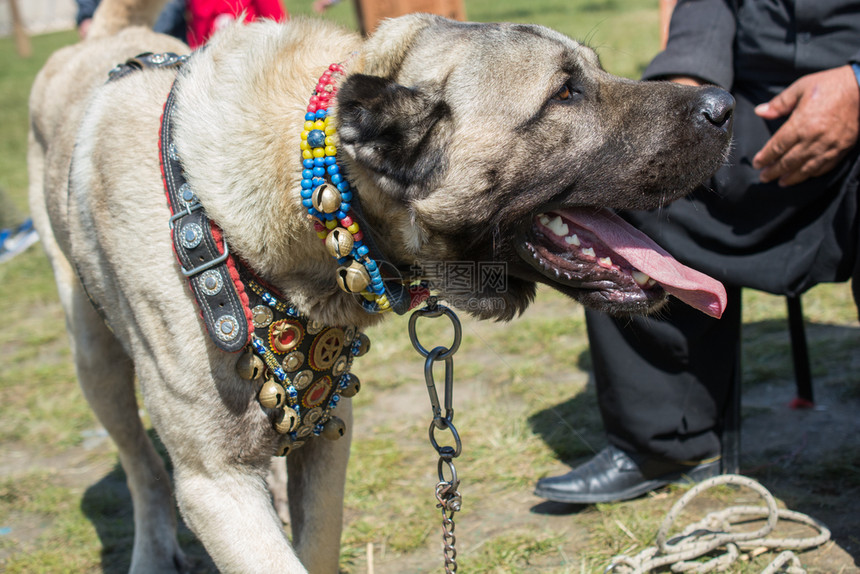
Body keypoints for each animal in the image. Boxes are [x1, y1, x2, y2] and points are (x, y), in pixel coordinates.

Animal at [30, 2, 736, 572]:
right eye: (565, 93)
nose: (725, 107)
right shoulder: (215, 482)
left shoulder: (327, 434)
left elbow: (314, 545)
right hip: (96, 363)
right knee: (143, 472)